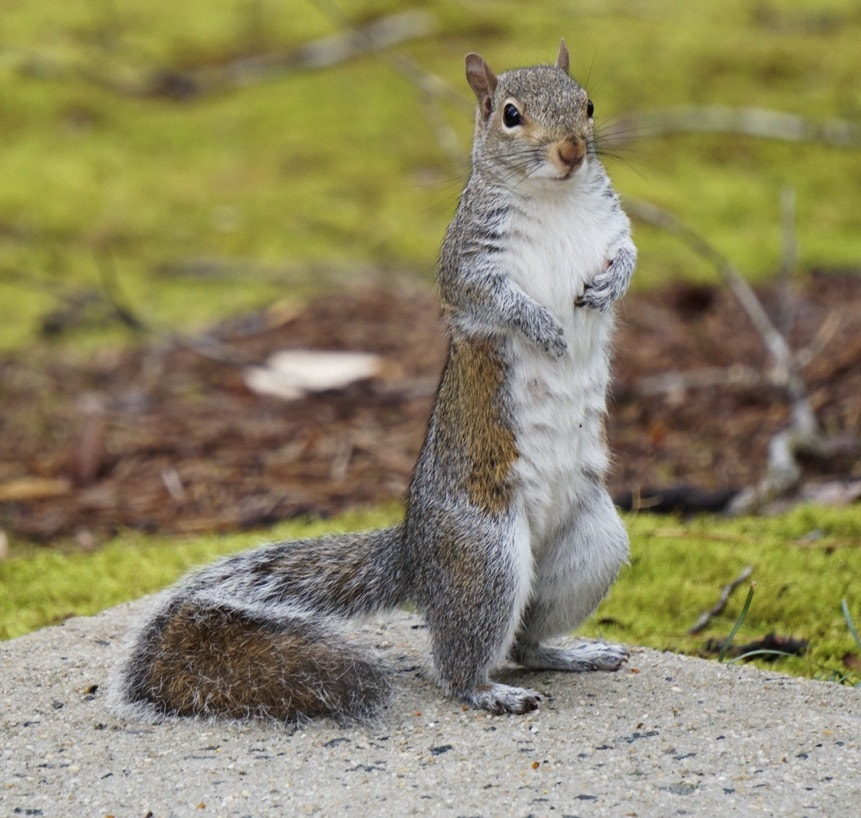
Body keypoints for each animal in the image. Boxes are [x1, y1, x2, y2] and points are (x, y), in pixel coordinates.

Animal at [107, 41, 636, 724]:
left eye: (588, 105)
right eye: (510, 115)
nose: (571, 150)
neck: (555, 200)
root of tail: (416, 552)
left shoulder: (611, 227)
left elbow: (628, 255)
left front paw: (607, 286)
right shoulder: (469, 260)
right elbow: (490, 298)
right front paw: (544, 327)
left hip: (594, 545)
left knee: (527, 641)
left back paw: (571, 653)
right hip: (486, 558)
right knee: (462, 659)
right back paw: (488, 690)